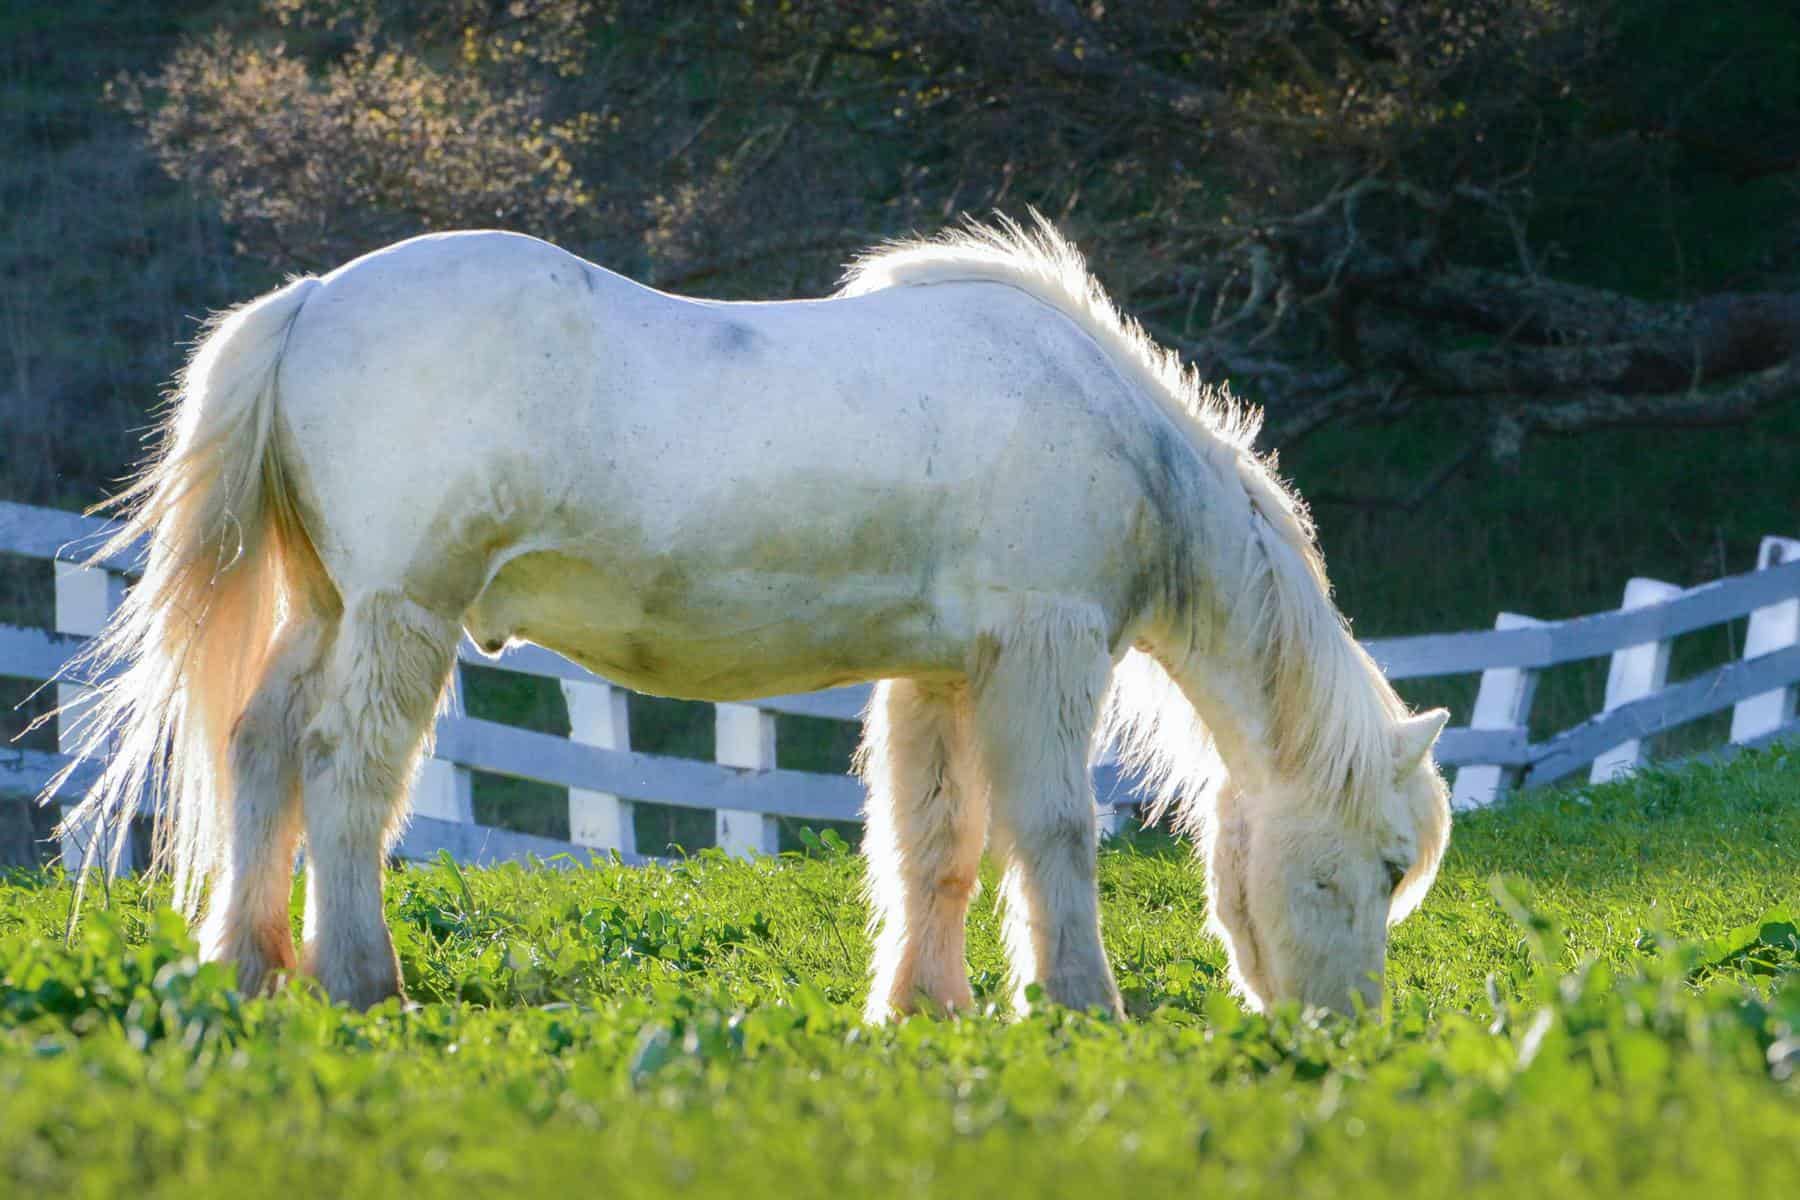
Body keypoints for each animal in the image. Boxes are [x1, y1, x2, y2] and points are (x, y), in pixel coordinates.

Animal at [50, 215, 1450, 1017]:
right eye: (1387, 865)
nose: (1344, 1036)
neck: (1106, 427)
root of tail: (309, 302)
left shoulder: (944, 676)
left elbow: (937, 844)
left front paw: (926, 1009)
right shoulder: (1040, 658)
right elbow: (1053, 833)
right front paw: (1078, 1005)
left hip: (333, 611)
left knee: (261, 751)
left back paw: (247, 970)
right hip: (403, 614)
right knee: (344, 771)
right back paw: (359, 982)